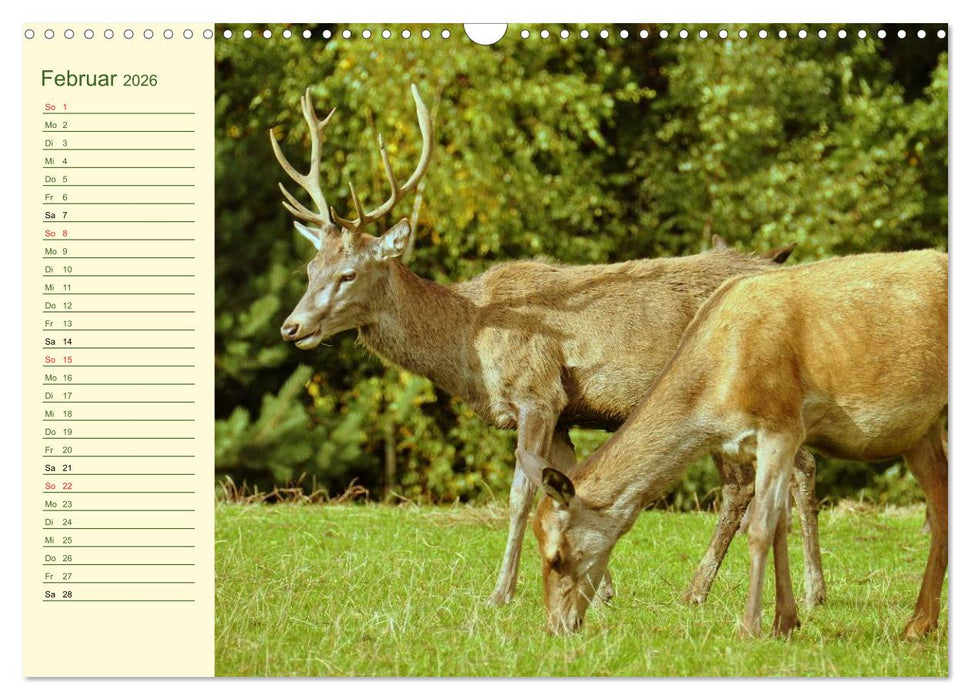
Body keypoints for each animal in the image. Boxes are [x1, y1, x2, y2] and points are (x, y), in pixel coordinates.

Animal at [270, 85, 826, 609]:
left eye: (348, 273)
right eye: (310, 268)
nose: (291, 327)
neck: (470, 344)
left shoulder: (538, 393)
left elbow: (521, 493)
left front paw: (502, 592)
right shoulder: (564, 412)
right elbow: (569, 483)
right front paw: (600, 591)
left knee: (758, 480)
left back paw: (735, 591)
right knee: (792, 467)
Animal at [525, 249, 947, 639]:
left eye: (556, 556)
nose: (556, 626)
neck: (719, 391)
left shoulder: (781, 425)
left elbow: (760, 527)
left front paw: (750, 627)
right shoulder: (751, 444)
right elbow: (777, 527)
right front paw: (784, 622)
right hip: (922, 431)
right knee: (940, 499)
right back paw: (919, 624)